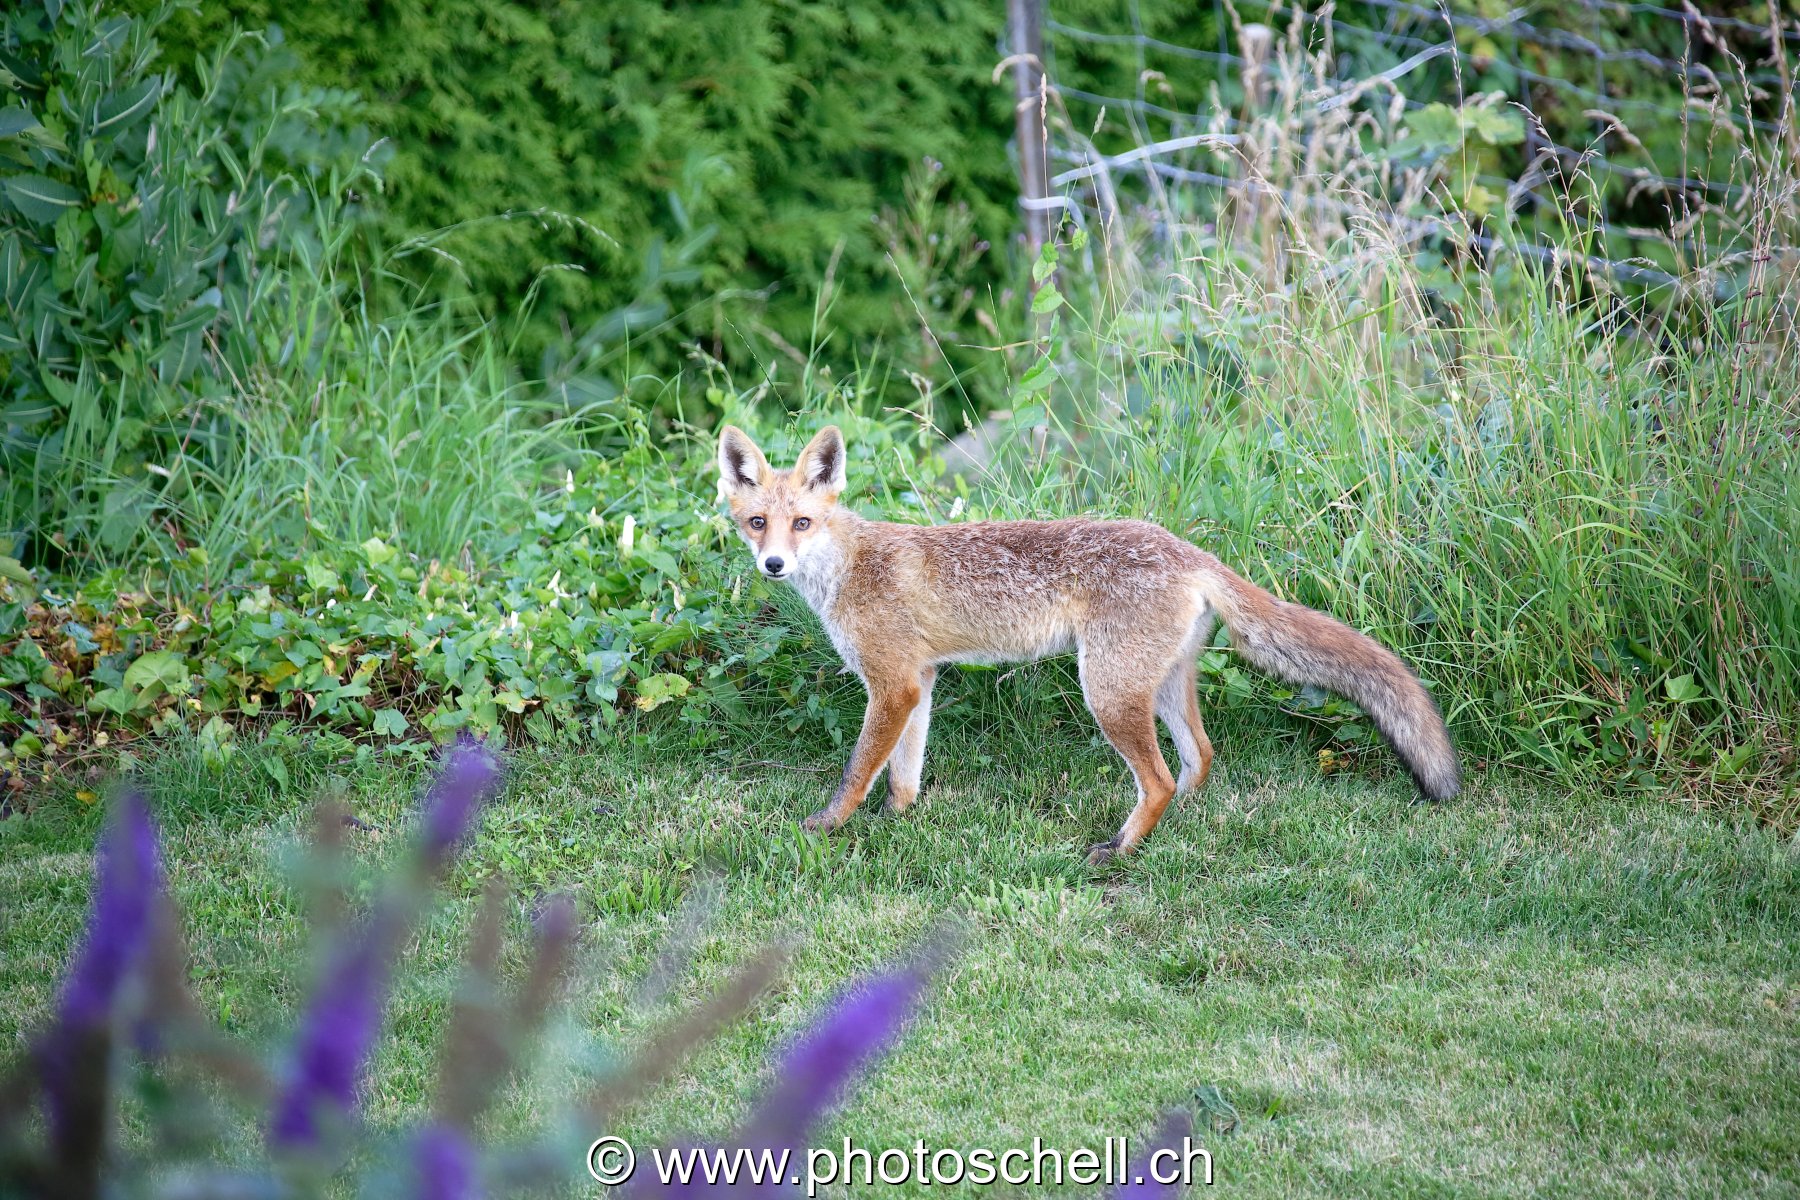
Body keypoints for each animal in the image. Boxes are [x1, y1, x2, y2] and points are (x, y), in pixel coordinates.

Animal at [717, 424, 1460, 864]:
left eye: (802, 523)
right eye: (757, 523)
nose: (773, 566)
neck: (848, 567)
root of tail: (1188, 551)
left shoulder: (892, 682)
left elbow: (857, 771)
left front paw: (827, 827)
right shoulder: (918, 681)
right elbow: (904, 770)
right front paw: (900, 819)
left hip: (1105, 690)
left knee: (1159, 778)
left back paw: (1120, 849)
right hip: (1158, 686)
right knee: (1200, 756)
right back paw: (1182, 822)